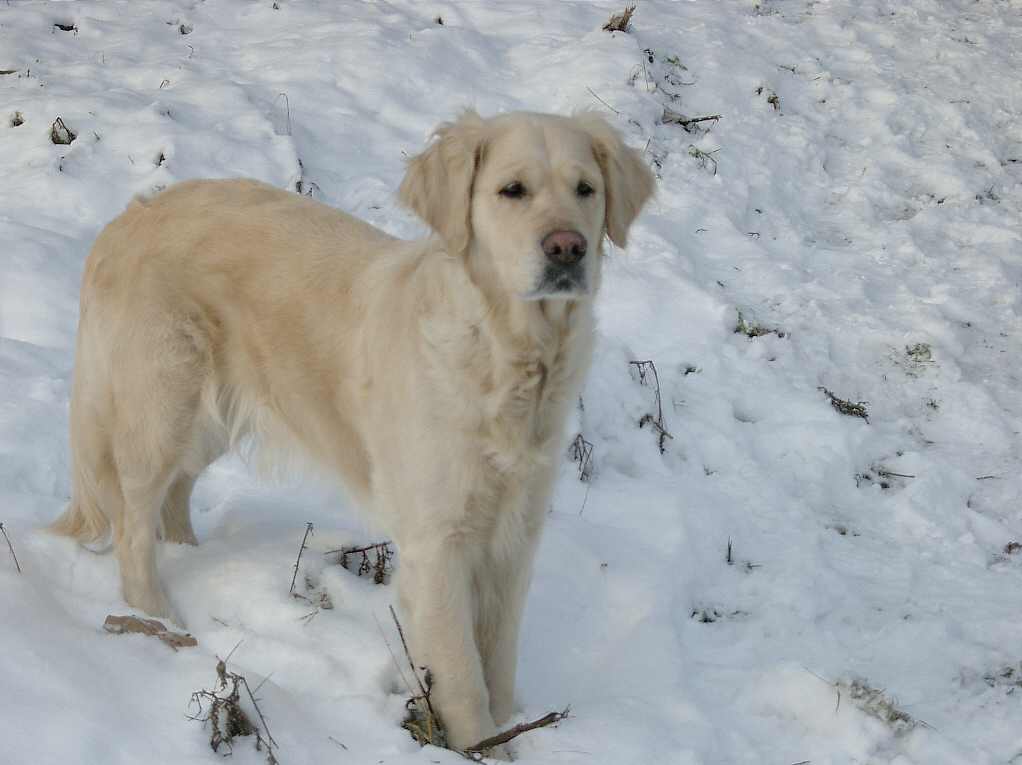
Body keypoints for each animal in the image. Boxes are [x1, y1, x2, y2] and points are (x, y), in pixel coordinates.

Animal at [51, 110, 654, 747]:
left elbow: (499, 657)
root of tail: (125, 219)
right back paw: (157, 614)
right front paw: (479, 744)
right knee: (132, 520)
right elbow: (463, 673)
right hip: (162, 407)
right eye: (512, 190)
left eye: (586, 189)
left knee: (173, 497)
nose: (568, 248)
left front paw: (512, 726)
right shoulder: (437, 543)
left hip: (207, 418)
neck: (507, 353)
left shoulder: (515, 536)